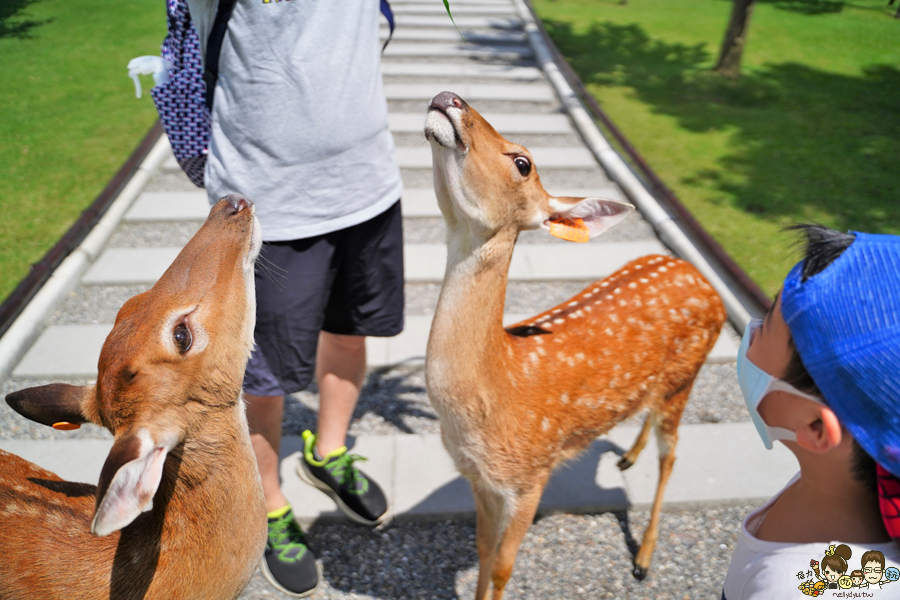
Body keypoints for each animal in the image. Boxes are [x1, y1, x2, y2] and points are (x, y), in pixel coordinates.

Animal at [426, 91, 728, 596]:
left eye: (523, 162)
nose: (449, 97)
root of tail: (702, 278)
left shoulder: (531, 475)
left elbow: (504, 565)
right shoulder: (480, 479)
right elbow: (483, 550)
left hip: (685, 377)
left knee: (672, 455)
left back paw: (643, 558)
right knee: (648, 417)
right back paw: (627, 456)